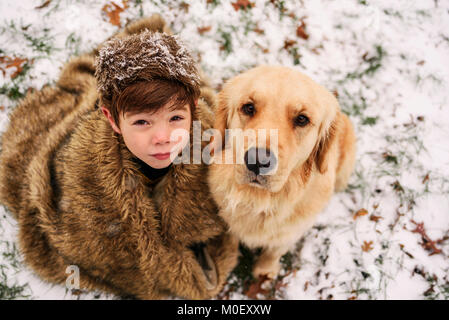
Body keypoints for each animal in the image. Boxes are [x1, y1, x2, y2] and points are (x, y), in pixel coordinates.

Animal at [208, 66, 356, 278]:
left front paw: (264, 270)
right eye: (249, 108)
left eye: (302, 119)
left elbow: (274, 251)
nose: (258, 161)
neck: (260, 200)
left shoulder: (289, 233)